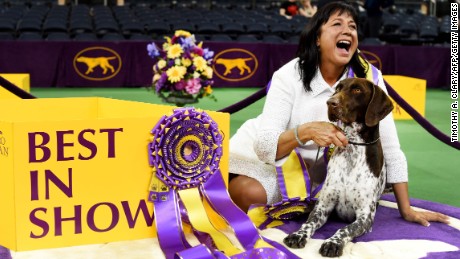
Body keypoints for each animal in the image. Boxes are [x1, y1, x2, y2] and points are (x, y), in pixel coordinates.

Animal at [284, 78, 396, 258]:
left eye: (357, 90)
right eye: (338, 89)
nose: (331, 102)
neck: (352, 147)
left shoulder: (365, 217)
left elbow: (345, 229)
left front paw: (333, 242)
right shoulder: (323, 206)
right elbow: (308, 223)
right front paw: (298, 235)